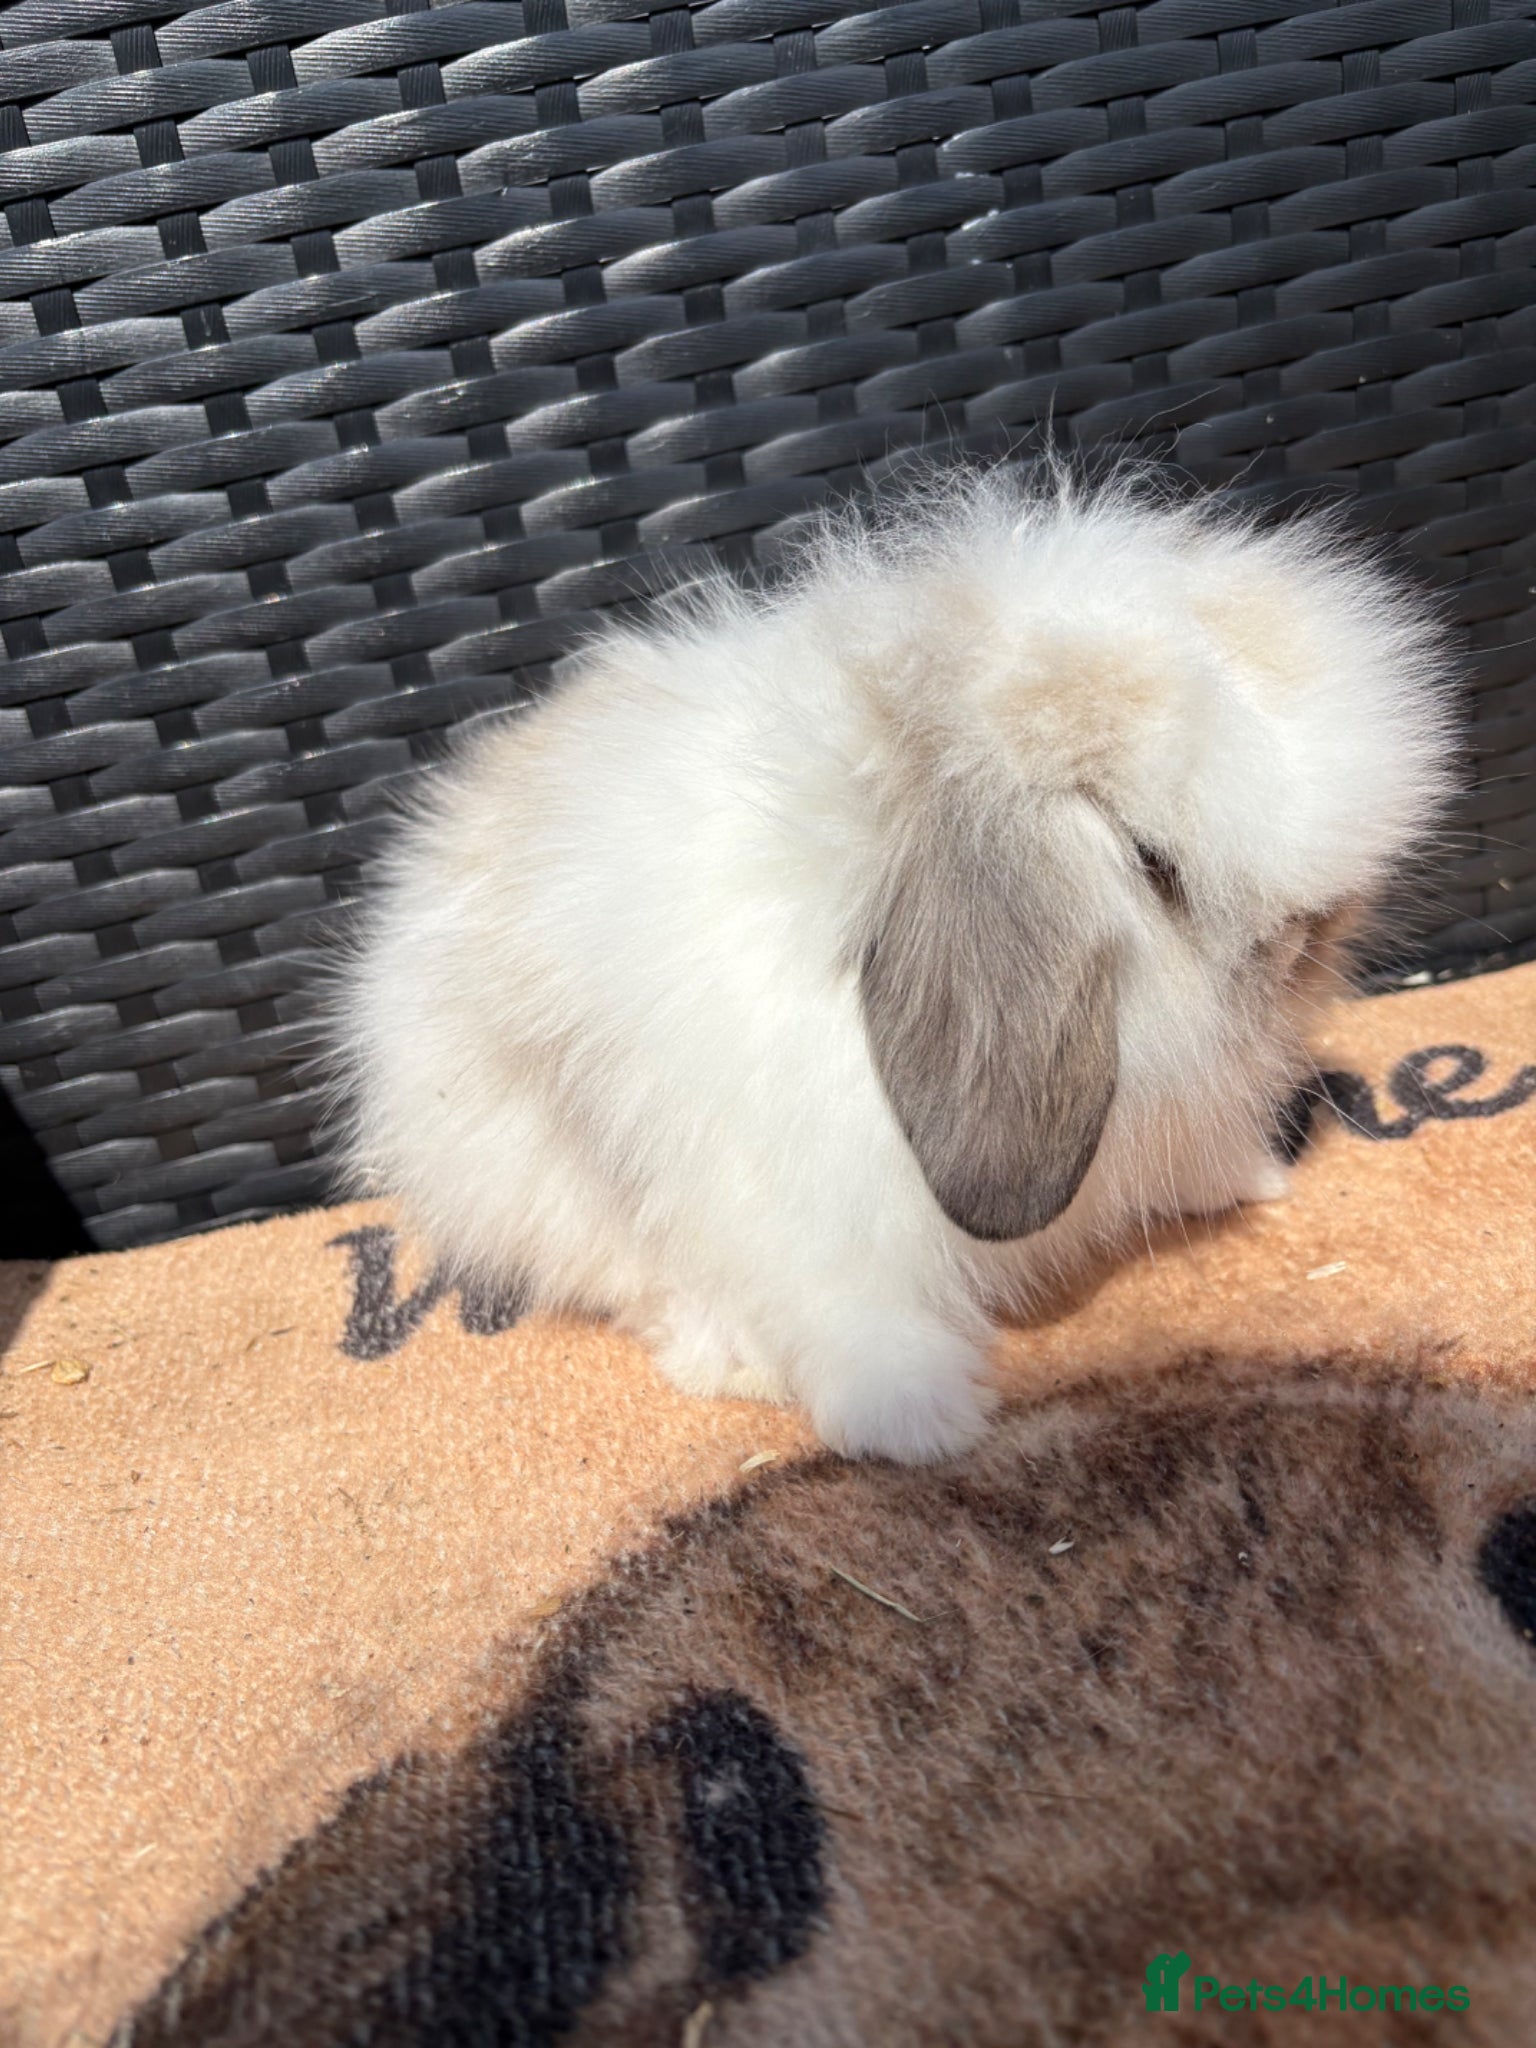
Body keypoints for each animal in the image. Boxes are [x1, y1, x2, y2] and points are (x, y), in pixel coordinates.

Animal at [328, 463, 1457, 1463]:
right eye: (1155, 864)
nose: (1314, 939)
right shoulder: (807, 1209)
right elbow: (858, 1317)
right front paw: (921, 1424)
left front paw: (1255, 1178)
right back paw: (732, 1360)